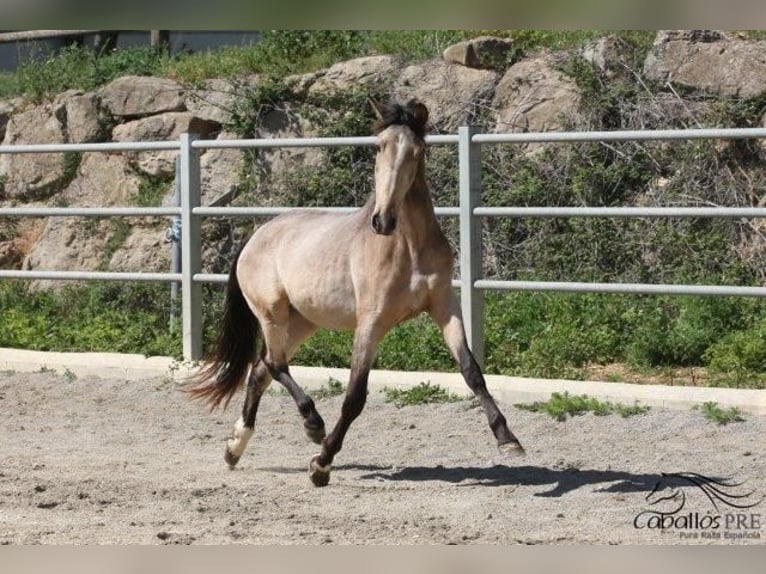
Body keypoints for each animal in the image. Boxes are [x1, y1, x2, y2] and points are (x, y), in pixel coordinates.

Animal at [192, 98, 528, 486]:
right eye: (379, 147)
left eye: (417, 151)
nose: (383, 221)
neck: (408, 247)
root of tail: (256, 236)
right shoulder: (371, 321)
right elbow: (354, 396)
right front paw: (320, 464)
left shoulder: (444, 305)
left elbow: (472, 371)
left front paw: (508, 439)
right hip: (271, 314)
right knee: (274, 364)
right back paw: (312, 426)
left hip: (303, 322)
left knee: (261, 371)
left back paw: (235, 448)